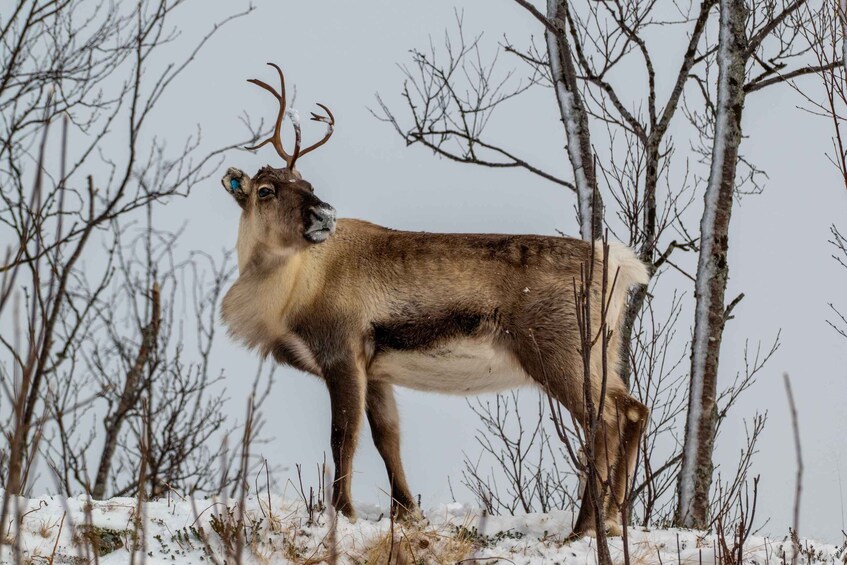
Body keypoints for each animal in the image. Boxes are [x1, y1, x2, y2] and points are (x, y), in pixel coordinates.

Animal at [220, 63, 650, 538]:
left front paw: (344, 512)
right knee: (633, 410)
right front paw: (406, 511)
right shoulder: (377, 369)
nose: (324, 215)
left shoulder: (342, 352)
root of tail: (617, 264)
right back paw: (613, 521)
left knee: (604, 421)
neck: (291, 292)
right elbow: (386, 437)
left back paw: (584, 526)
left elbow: (343, 436)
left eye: (307, 184)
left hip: (562, 353)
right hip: (606, 351)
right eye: (265, 190)